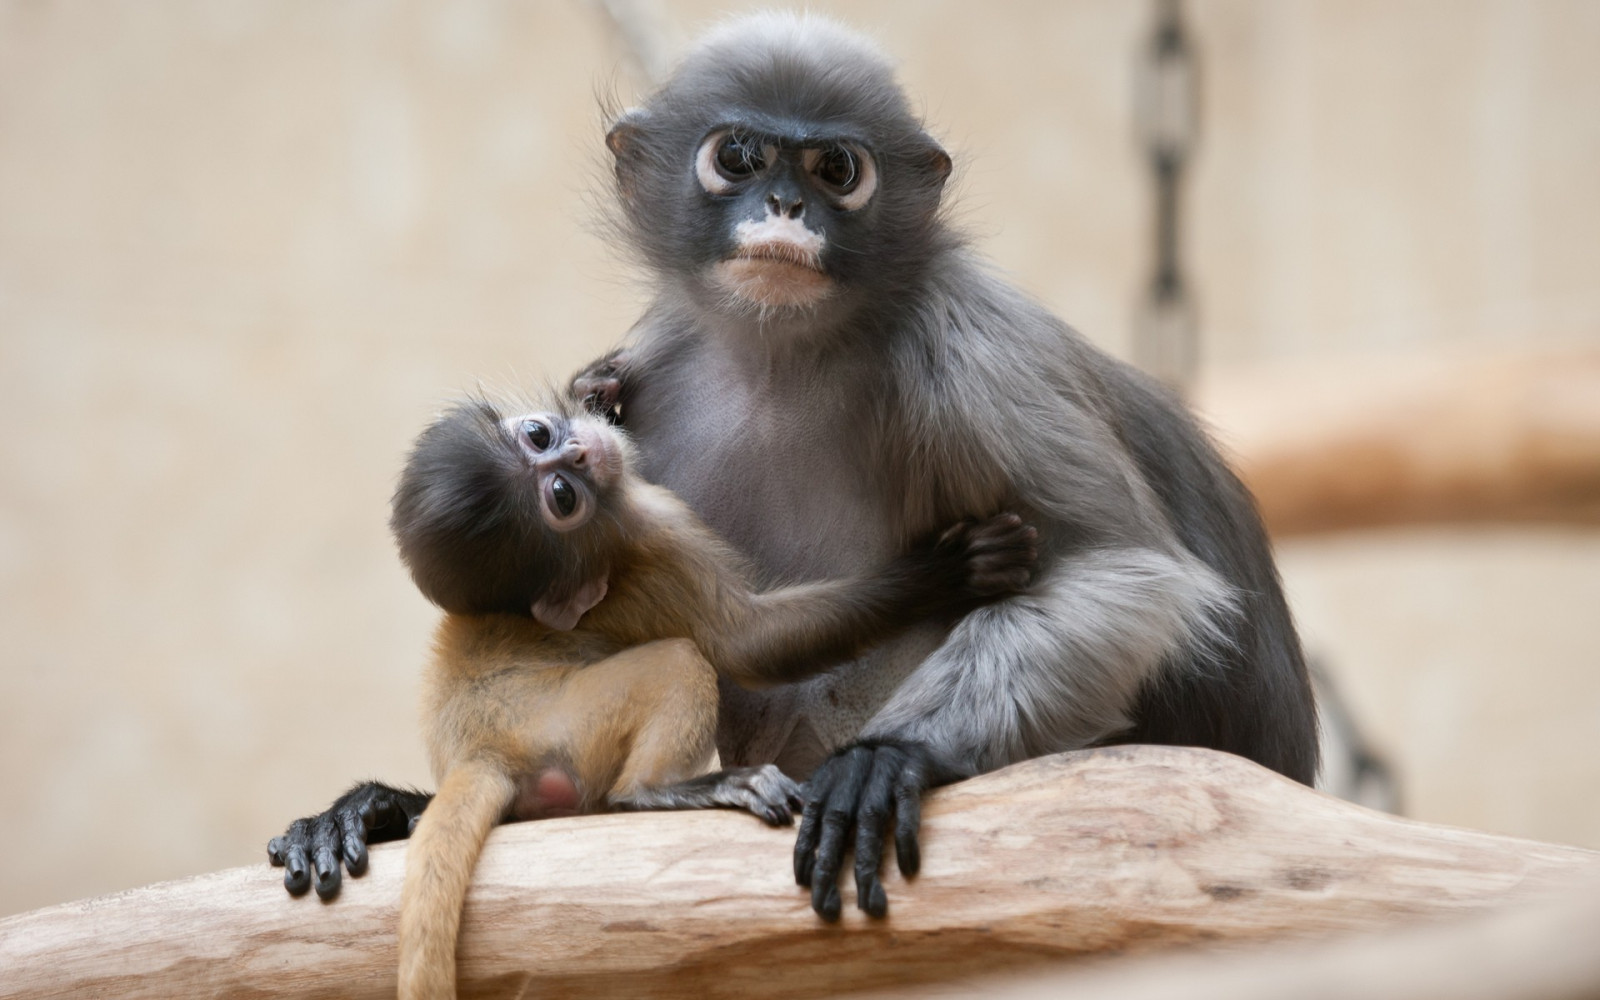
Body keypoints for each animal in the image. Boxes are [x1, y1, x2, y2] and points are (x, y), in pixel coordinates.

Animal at [273, 393, 1036, 998]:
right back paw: (659, 791)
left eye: (539, 437)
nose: (581, 448)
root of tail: (486, 749)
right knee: (678, 666)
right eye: (562, 498)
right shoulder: (651, 532)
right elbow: (746, 644)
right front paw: (946, 571)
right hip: (570, 721)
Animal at [277, 12, 1317, 924]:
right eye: (738, 157)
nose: (785, 206)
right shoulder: (657, 364)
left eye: (836, 169)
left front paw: (886, 758)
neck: (782, 358)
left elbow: (1124, 574)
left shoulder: (970, 348)